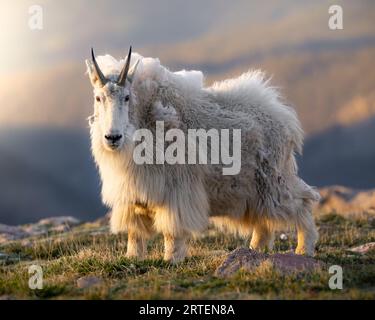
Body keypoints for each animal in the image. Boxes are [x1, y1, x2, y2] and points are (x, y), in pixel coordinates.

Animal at [86, 47, 320, 262]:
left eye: (126, 97)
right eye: (98, 98)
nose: (113, 137)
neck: (143, 118)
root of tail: (285, 119)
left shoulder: (177, 190)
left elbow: (172, 230)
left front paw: (171, 260)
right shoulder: (134, 194)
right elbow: (135, 232)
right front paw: (132, 258)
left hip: (273, 181)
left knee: (303, 202)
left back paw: (303, 249)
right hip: (256, 190)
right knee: (263, 221)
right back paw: (255, 250)